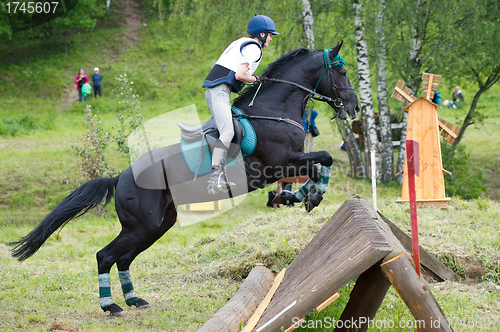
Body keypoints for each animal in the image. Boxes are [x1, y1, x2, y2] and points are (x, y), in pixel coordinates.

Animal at [8, 41, 360, 316]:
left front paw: (294, 197)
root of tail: (120, 177)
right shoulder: (279, 164)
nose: (355, 107)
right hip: (143, 225)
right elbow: (323, 160)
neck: (275, 110)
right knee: (105, 255)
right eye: (341, 72)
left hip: (159, 224)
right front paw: (308, 197)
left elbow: (318, 164)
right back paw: (111, 305)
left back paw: (134, 299)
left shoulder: (290, 162)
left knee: (123, 257)